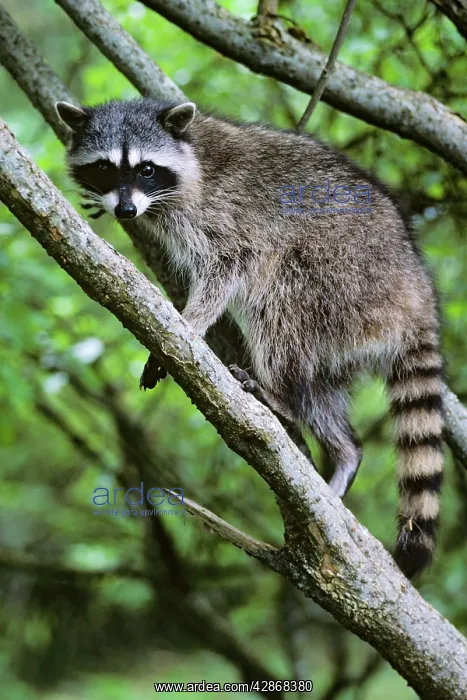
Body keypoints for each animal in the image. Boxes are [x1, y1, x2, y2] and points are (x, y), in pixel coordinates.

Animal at [56, 98, 444, 578]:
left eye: (146, 169)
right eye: (105, 168)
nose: (126, 212)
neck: (190, 157)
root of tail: (416, 295)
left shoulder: (226, 215)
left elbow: (227, 268)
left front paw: (188, 324)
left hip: (344, 275)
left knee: (281, 311)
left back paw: (280, 396)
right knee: (320, 390)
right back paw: (344, 450)